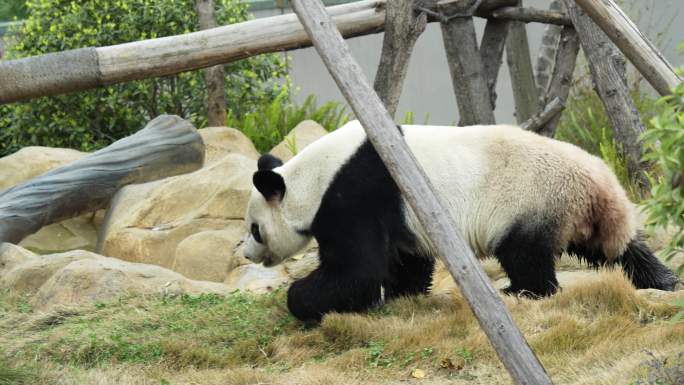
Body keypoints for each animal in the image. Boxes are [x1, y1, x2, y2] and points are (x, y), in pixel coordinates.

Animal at [242, 119, 680, 320]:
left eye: (254, 229)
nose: (246, 254)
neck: (312, 177)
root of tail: (599, 185)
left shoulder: (354, 195)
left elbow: (358, 268)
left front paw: (304, 300)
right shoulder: (401, 213)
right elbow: (405, 258)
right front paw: (401, 296)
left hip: (532, 201)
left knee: (526, 257)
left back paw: (520, 292)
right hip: (579, 216)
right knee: (619, 249)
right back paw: (663, 281)